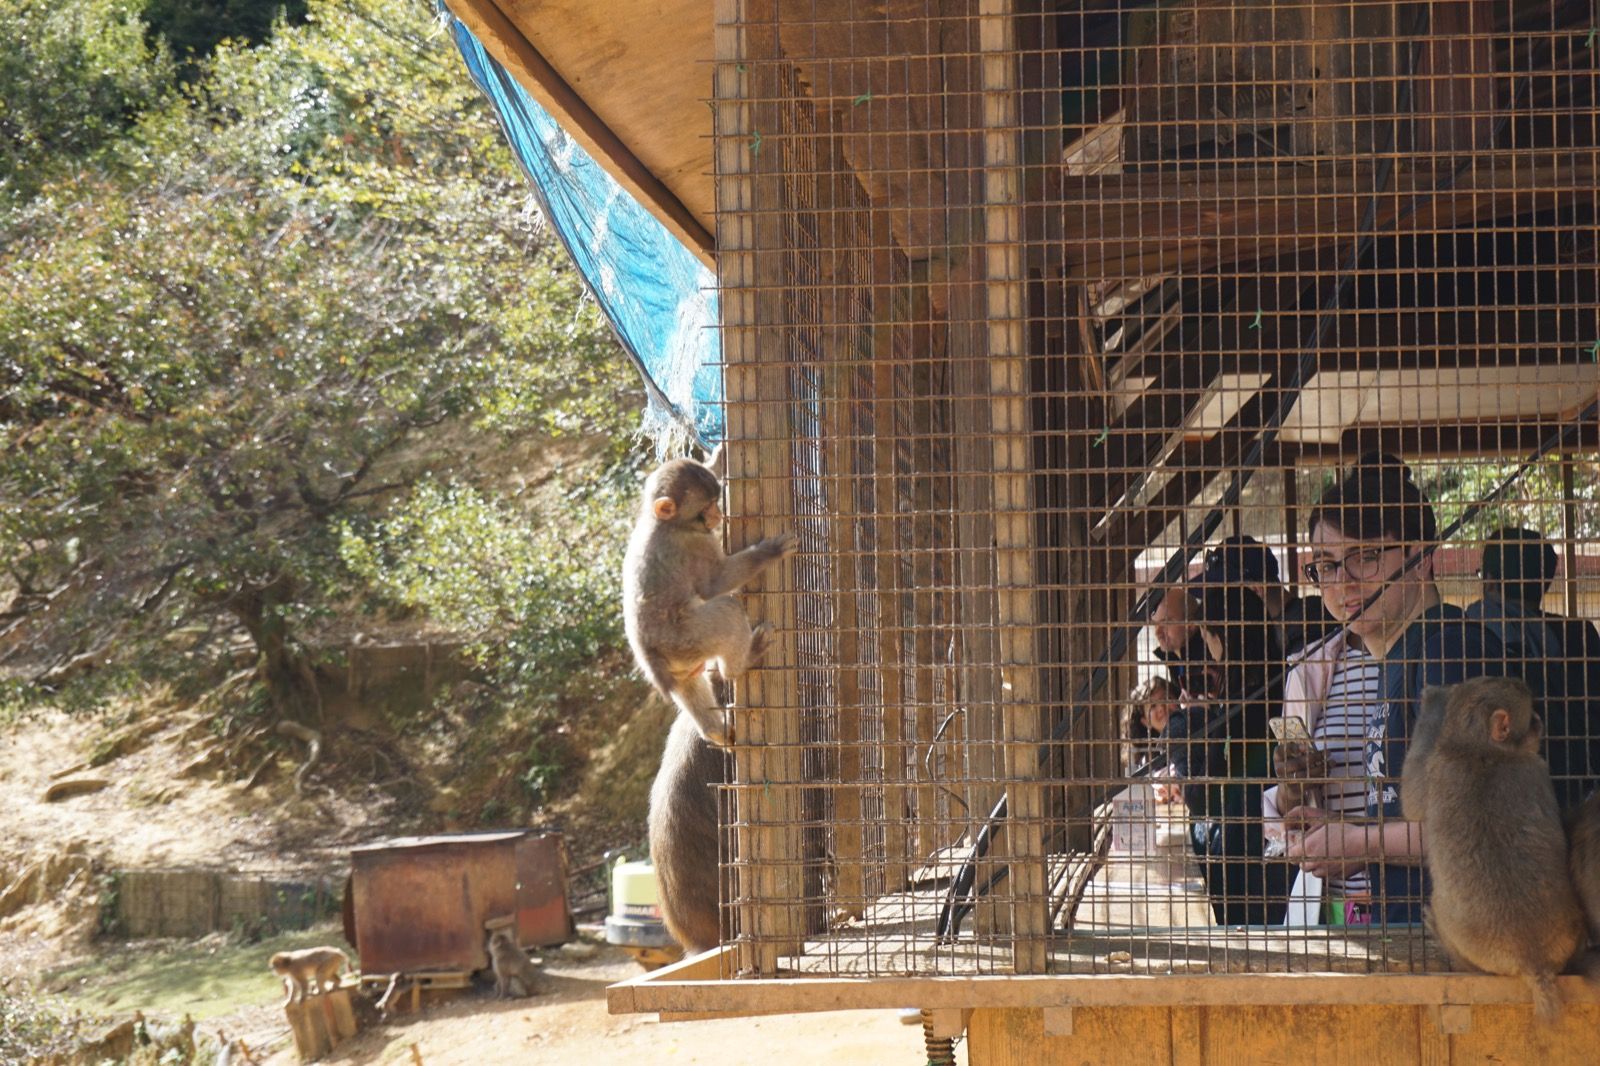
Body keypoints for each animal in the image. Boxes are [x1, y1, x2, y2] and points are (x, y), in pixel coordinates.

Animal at [624, 457, 800, 745]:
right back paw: (743, 662)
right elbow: (714, 584)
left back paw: (715, 731)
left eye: (716, 501)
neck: (664, 523)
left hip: (680, 664)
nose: (718, 515)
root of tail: (651, 657)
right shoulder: (697, 544)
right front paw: (767, 552)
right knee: (727, 611)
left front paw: (715, 459)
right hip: (684, 640)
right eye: (707, 507)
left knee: (688, 685)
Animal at [1401, 675, 1587, 1017]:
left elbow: (1413, 804)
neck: (1480, 750)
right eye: (1532, 720)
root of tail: (1533, 959)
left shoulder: (1445, 764)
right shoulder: (1532, 767)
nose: (1540, 721)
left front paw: (1434, 702)